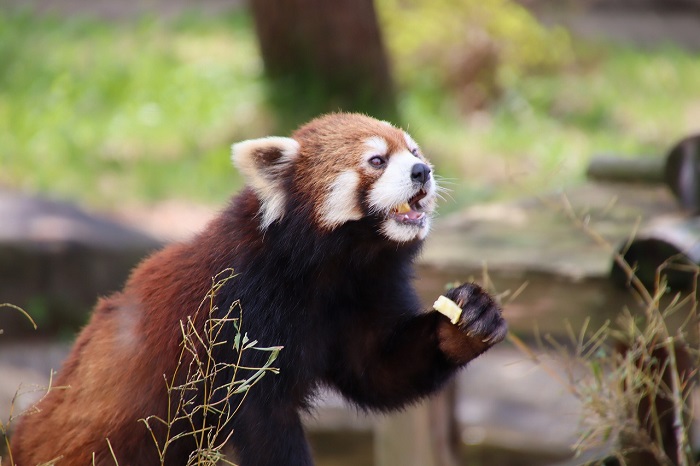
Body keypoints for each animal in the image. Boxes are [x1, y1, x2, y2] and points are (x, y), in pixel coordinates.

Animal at [9, 114, 504, 466]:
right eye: (377, 160)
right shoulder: (236, 309)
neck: (330, 270)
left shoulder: (363, 295)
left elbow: (378, 370)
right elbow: (263, 418)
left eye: (414, 150)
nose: (422, 171)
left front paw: (467, 323)